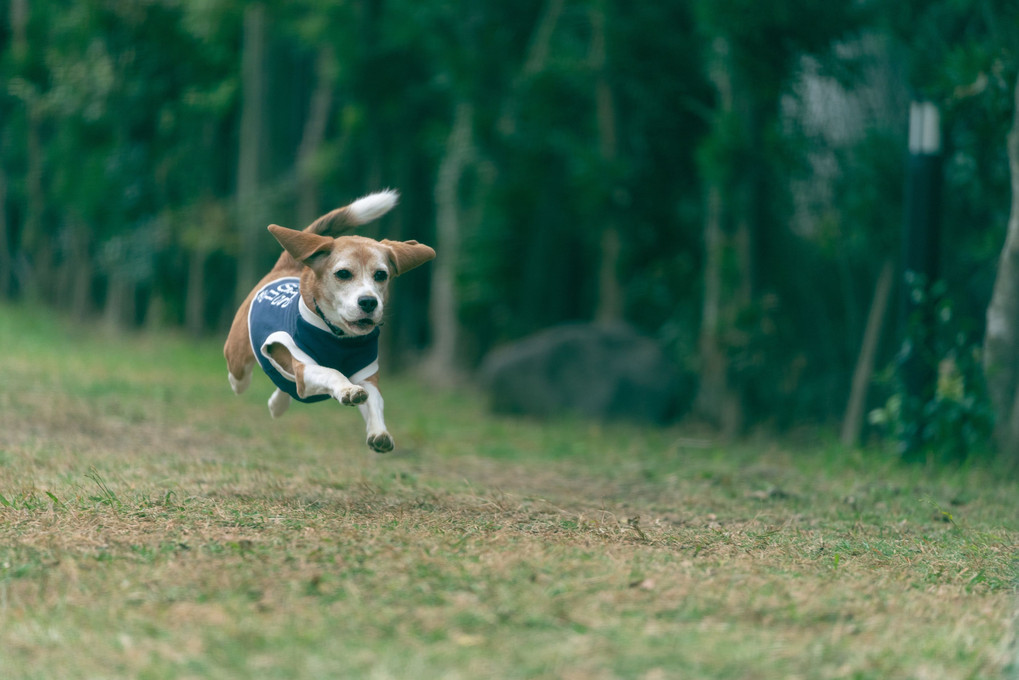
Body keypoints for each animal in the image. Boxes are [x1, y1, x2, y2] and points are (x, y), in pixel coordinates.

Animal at [225, 190, 436, 452]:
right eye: (343, 274)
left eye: (381, 275)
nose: (369, 302)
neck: (339, 336)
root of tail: (286, 268)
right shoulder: (304, 364)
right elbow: (332, 372)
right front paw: (346, 389)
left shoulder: (367, 374)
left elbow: (375, 400)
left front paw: (379, 432)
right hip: (238, 357)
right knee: (240, 377)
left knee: (288, 387)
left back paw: (278, 404)